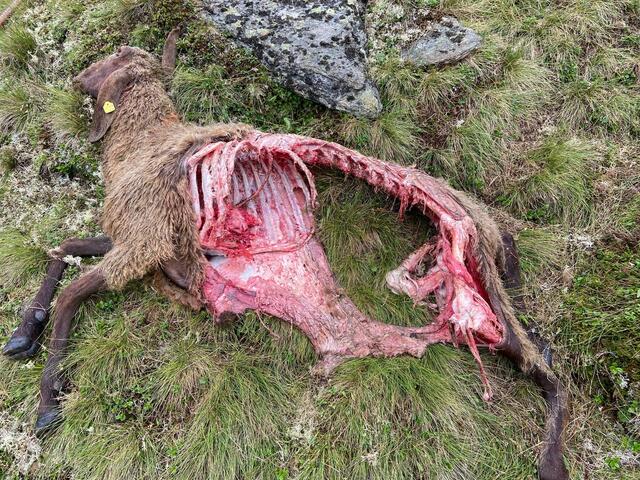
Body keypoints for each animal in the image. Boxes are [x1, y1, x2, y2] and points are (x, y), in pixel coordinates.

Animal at [2, 30, 569, 480]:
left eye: (120, 55)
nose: (79, 74)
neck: (139, 146)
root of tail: (484, 223)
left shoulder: (144, 242)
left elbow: (74, 292)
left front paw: (48, 406)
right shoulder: (141, 245)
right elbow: (64, 250)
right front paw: (22, 334)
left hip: (482, 286)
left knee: (550, 376)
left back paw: (551, 463)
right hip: (474, 297)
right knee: (532, 341)